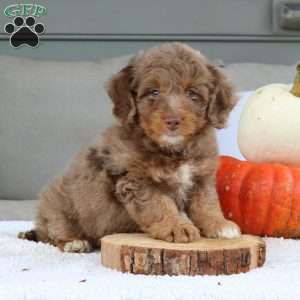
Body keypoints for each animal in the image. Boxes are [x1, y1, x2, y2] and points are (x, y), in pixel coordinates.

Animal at [18, 42, 240, 252]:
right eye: (153, 92)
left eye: (192, 93)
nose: (172, 121)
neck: (171, 148)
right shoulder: (136, 181)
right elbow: (159, 205)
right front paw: (177, 226)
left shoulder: (201, 177)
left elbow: (207, 203)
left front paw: (220, 225)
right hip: (57, 206)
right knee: (53, 234)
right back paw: (74, 242)